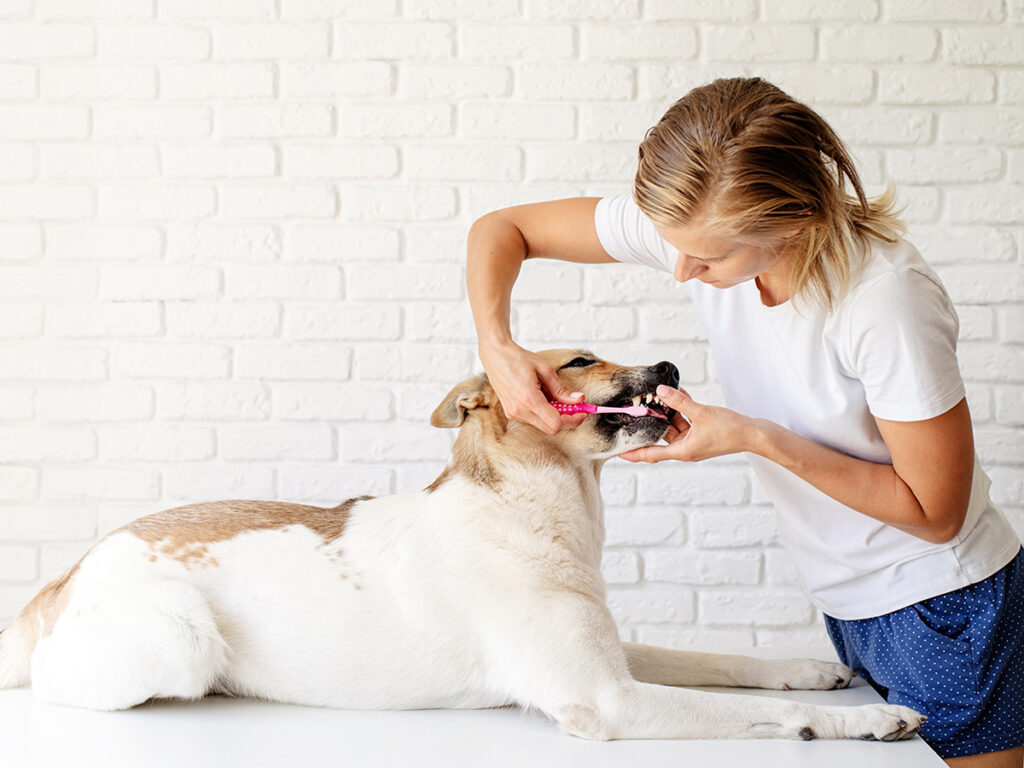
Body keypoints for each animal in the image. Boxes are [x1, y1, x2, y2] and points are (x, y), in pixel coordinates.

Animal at [0, 352, 929, 741]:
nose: (667, 363)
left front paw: (812, 669)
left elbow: (722, 662)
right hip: (178, 644)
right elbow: (749, 709)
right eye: (581, 359)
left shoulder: (610, 653)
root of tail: (66, 576)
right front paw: (866, 718)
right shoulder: (608, 700)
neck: (531, 510)